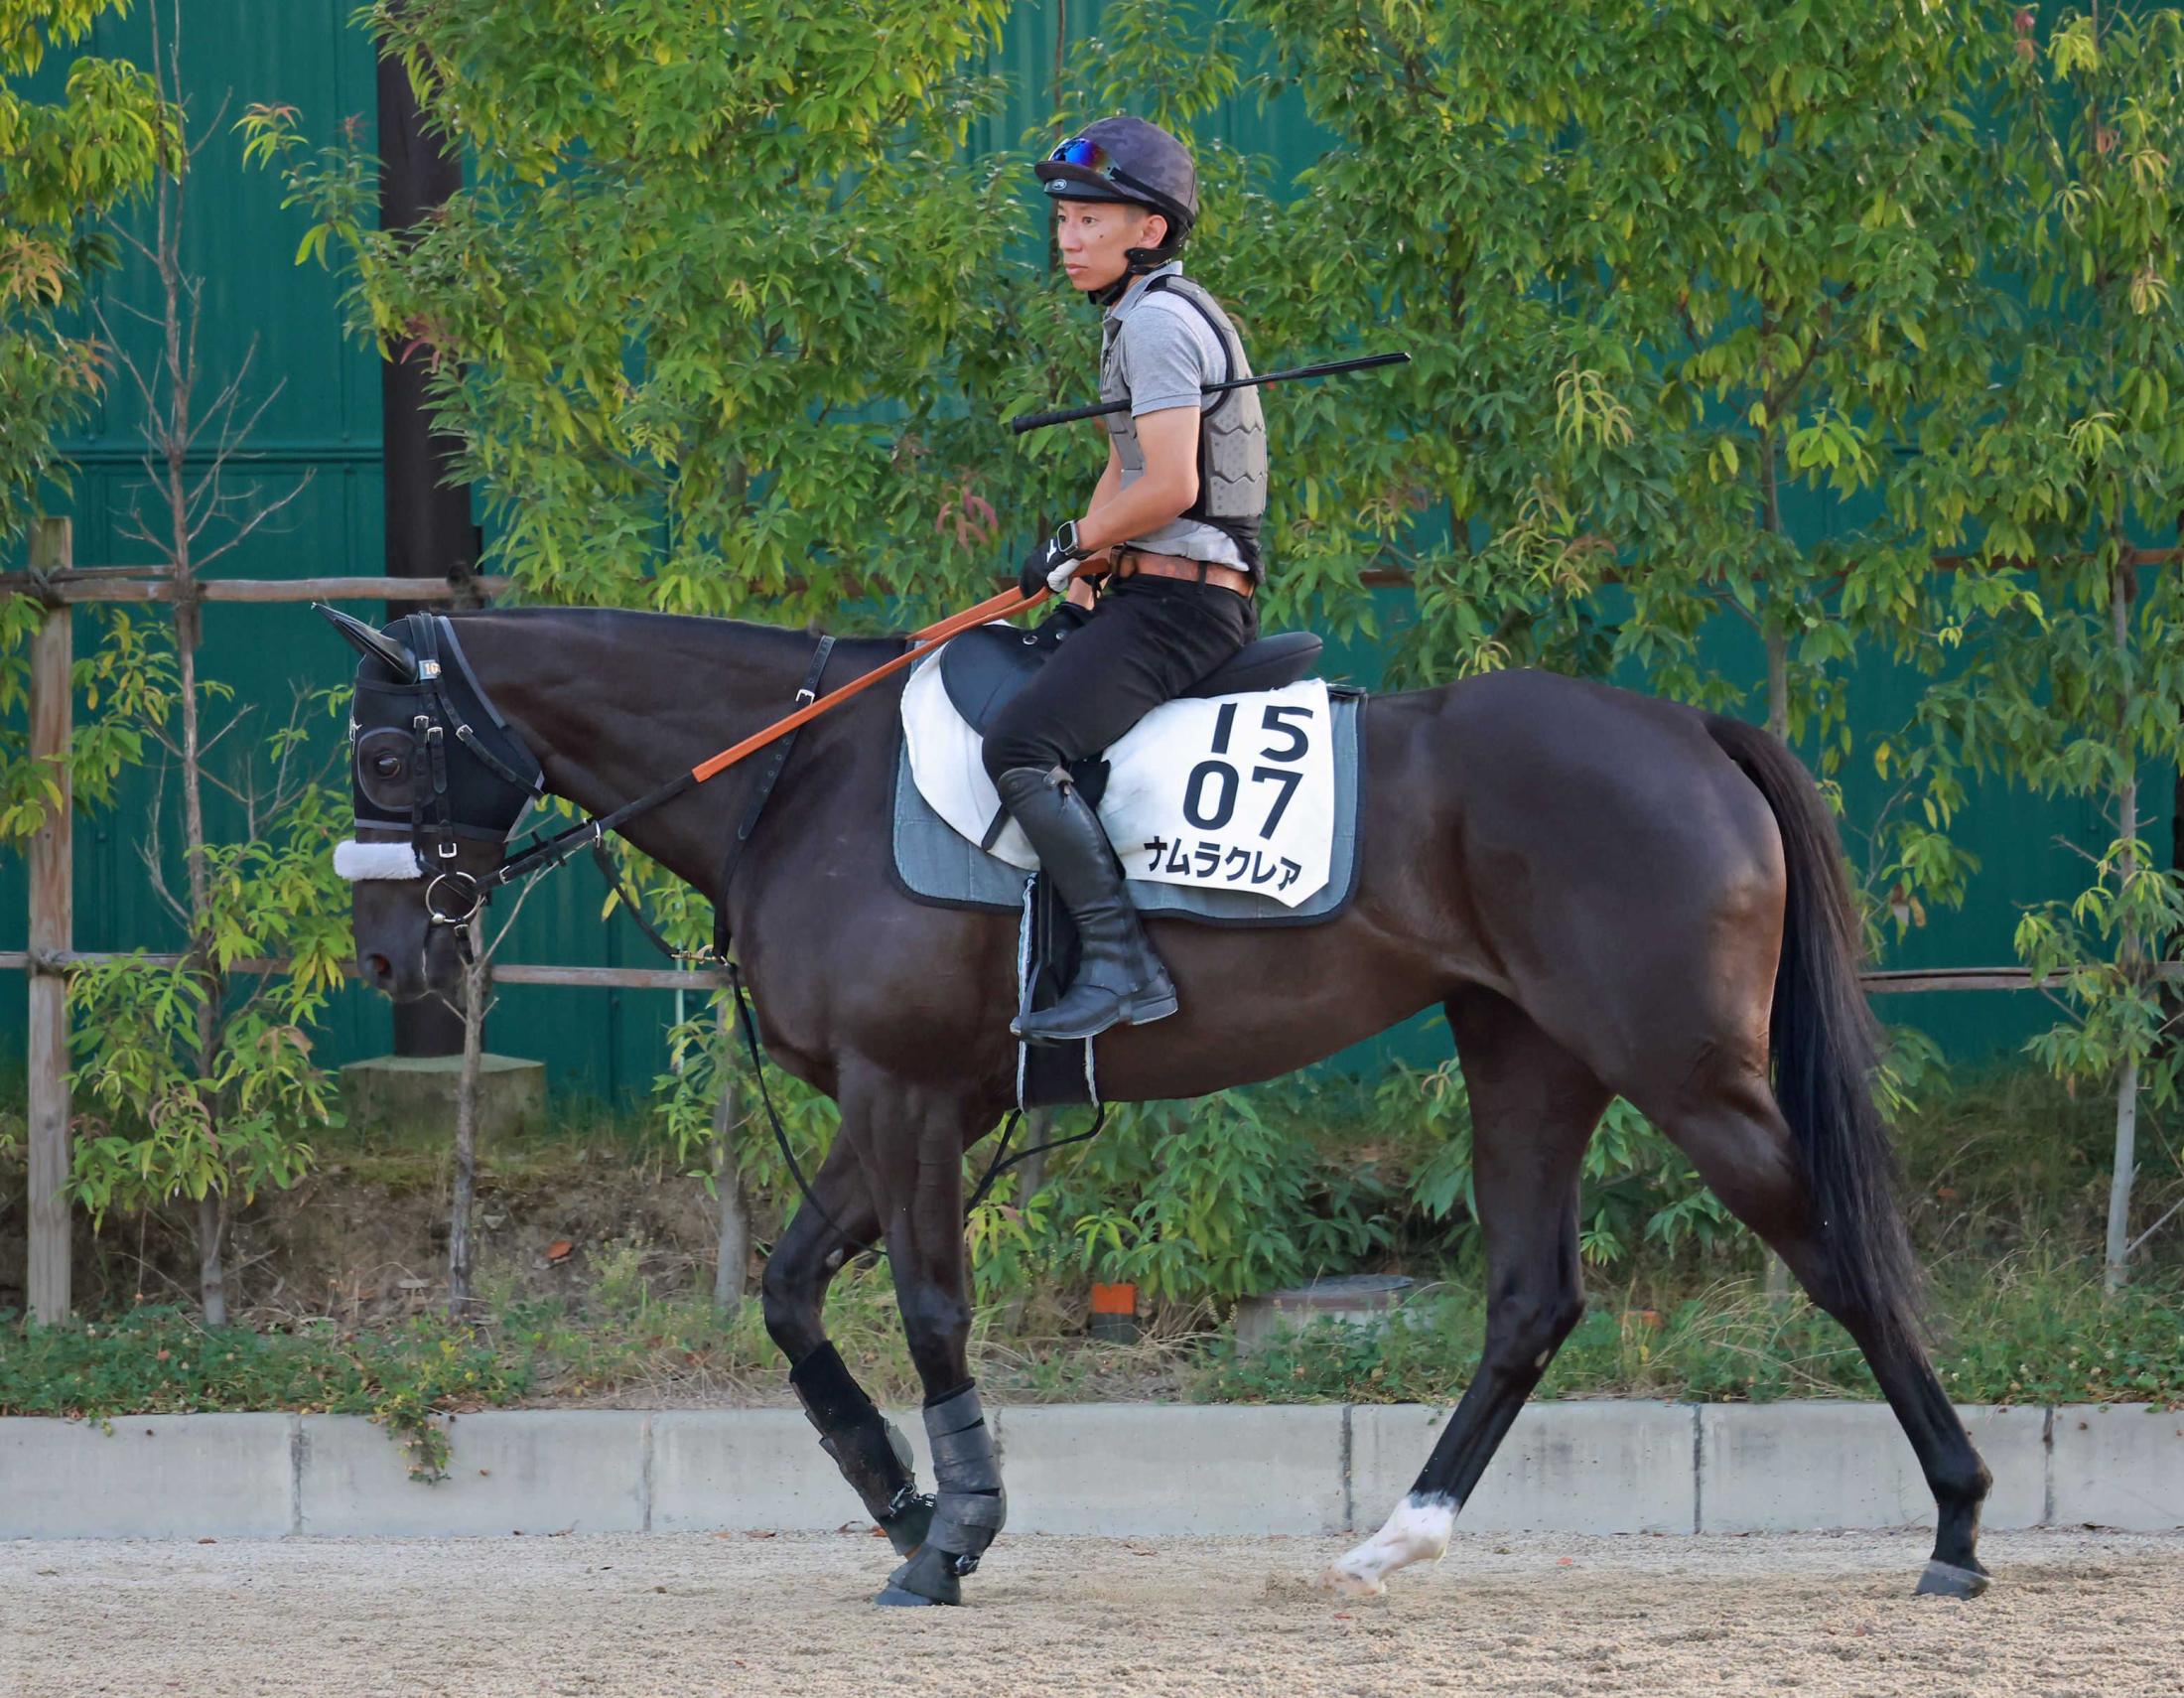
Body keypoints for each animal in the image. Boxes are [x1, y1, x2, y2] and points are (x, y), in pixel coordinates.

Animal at [328, 603, 2000, 1608]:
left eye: (390, 749)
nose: (389, 955)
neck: (792, 774)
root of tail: (1688, 728)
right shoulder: (919, 1102)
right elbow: (796, 1296)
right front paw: (899, 1504)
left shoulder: (903, 1094)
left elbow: (928, 1307)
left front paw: (953, 1533)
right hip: (1530, 1053)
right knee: (1533, 1295)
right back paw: (1398, 1533)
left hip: (1680, 1068)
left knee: (1837, 1254)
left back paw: (1959, 1524)